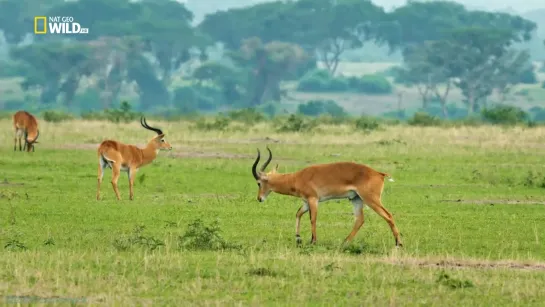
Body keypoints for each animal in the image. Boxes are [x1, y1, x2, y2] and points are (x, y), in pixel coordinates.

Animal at [253, 147, 402, 248]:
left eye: (259, 183)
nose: (259, 198)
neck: (297, 178)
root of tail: (379, 174)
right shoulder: (306, 202)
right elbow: (298, 214)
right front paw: (298, 238)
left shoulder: (313, 199)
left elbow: (312, 219)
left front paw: (313, 241)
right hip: (356, 199)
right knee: (360, 219)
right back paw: (344, 243)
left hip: (371, 199)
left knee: (388, 215)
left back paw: (398, 243)